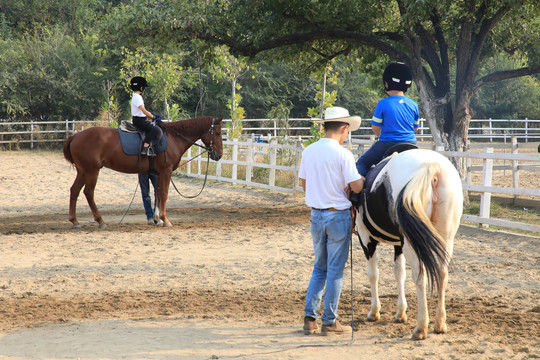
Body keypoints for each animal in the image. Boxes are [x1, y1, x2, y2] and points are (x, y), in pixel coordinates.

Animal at [63, 117, 224, 228]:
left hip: (82, 171)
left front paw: (158, 219)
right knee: (88, 193)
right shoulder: (166, 172)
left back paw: (75, 221)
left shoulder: (158, 174)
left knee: (74, 190)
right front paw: (165, 220)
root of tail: (75, 136)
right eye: (217, 133)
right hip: (92, 171)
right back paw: (100, 221)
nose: (219, 155)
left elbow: (158, 194)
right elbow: (164, 194)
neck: (173, 138)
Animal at [354, 149, 464, 340]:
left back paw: (421, 327)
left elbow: (373, 275)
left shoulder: (366, 239)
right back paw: (440, 323)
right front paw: (400, 313)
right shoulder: (398, 244)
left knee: (420, 276)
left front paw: (374, 312)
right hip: (445, 239)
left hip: (412, 245)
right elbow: (399, 274)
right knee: (442, 274)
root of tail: (432, 167)